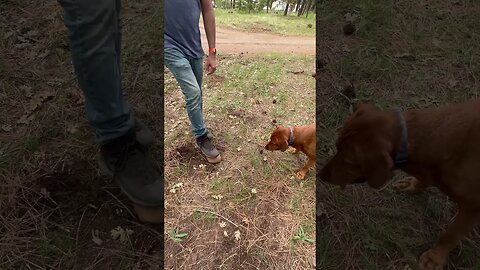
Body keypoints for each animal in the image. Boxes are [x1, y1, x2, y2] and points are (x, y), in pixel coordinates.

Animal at [318, 102, 480, 270]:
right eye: (337, 146)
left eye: (349, 161)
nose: (320, 175)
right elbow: (424, 179)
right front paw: (414, 185)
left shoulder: (473, 208)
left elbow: (450, 235)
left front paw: (435, 258)